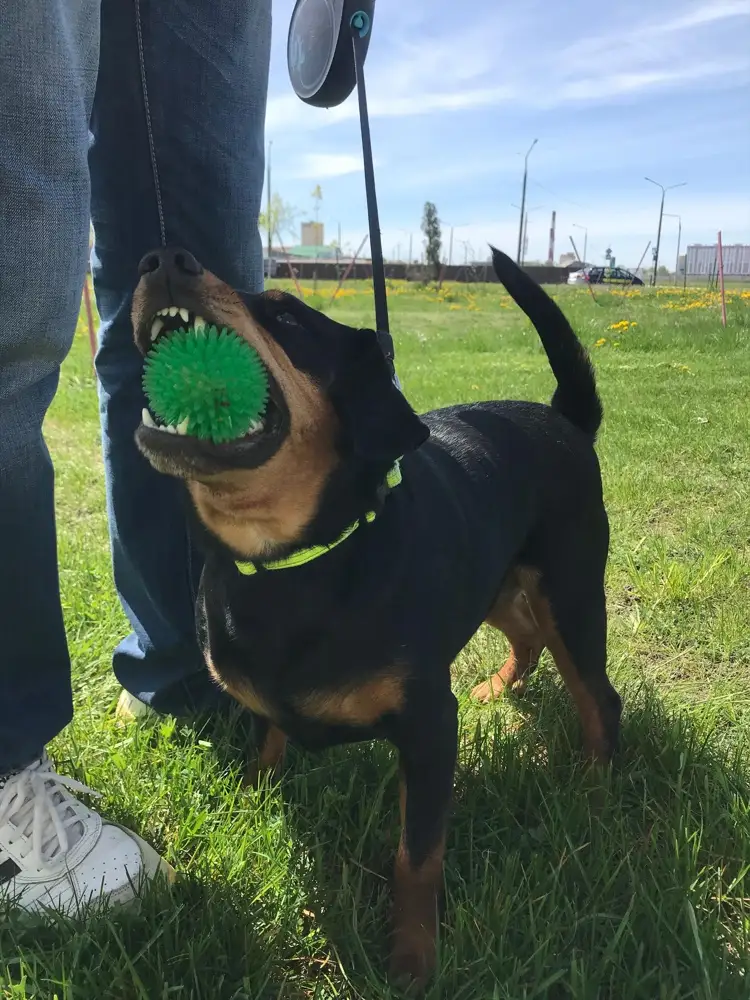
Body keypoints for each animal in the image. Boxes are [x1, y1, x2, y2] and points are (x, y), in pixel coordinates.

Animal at [131, 246, 624, 988]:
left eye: (286, 317)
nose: (166, 257)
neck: (294, 564)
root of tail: (563, 418)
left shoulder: (429, 729)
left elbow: (416, 857)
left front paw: (413, 958)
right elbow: (265, 750)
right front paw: (250, 806)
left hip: (569, 591)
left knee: (597, 697)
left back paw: (594, 793)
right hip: (494, 581)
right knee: (527, 635)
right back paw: (499, 687)